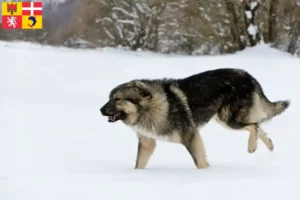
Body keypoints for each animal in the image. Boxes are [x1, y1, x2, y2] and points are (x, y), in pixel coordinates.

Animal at [99, 68, 290, 169]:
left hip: (228, 119)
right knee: (258, 125)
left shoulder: (190, 136)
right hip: (224, 119)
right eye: (109, 98)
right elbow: (139, 164)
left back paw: (252, 146)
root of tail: (248, 75)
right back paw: (269, 145)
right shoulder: (148, 142)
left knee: (254, 125)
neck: (152, 108)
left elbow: (199, 161)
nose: (100, 110)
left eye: (117, 99)